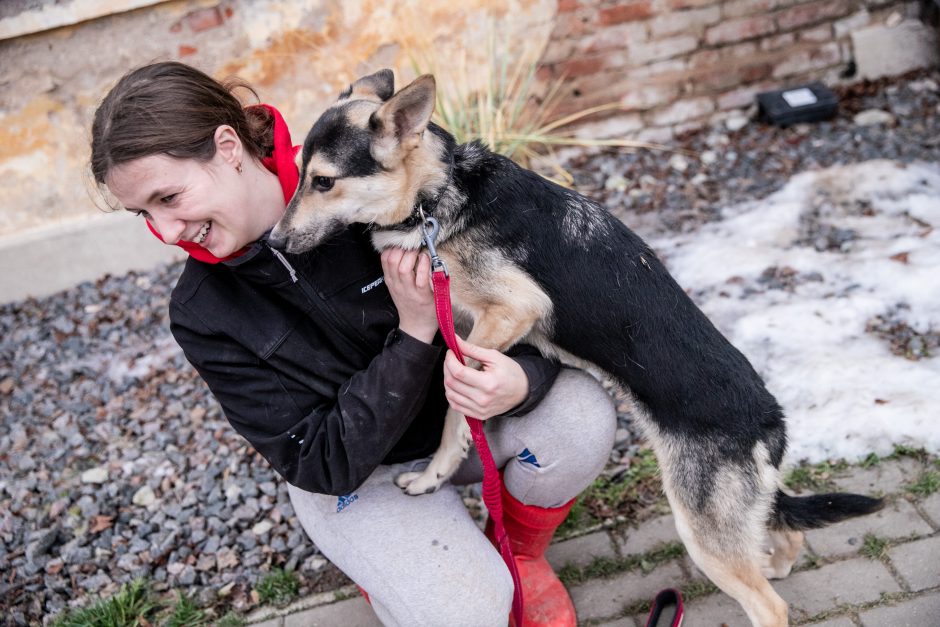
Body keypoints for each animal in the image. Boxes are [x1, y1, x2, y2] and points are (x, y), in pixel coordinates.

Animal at [268, 70, 884, 627]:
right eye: (299, 176)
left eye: (322, 182)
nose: (272, 241)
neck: (436, 195)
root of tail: (769, 421)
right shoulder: (470, 316)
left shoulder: (513, 309)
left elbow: (450, 387)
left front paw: (433, 472)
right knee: (781, 537)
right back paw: (776, 559)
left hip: (701, 528)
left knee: (770, 604)